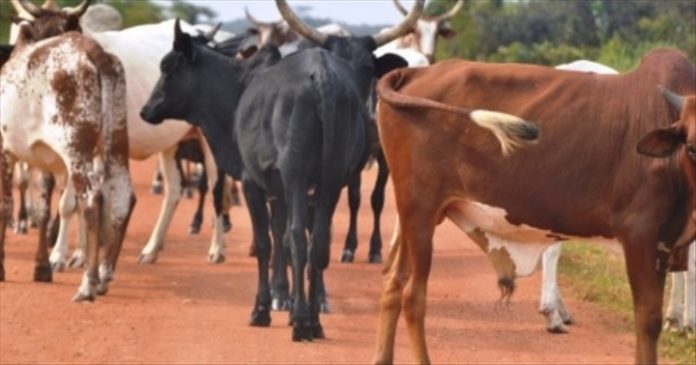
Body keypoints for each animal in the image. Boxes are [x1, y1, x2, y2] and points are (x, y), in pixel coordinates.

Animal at [0, 1, 135, 300]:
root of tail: (92, 50)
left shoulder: (5, 151)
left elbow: (6, 205)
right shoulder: (44, 159)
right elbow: (44, 208)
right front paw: (41, 267)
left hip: (76, 148)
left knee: (93, 198)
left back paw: (88, 284)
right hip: (116, 143)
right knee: (123, 197)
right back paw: (104, 276)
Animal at [140, 0, 424, 342]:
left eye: (167, 67)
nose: (146, 110)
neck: (239, 87)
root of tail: (322, 76)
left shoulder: (253, 182)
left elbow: (269, 242)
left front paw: (265, 307)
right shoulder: (287, 191)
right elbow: (288, 239)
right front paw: (291, 300)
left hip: (297, 176)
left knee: (299, 239)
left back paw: (301, 322)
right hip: (330, 180)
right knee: (318, 241)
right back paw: (312, 320)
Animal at [372, 49, 696, 364]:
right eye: (692, 147)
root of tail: (414, 72)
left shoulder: (665, 244)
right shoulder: (640, 235)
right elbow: (647, 319)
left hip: (419, 214)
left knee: (393, 285)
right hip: (420, 210)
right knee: (413, 296)